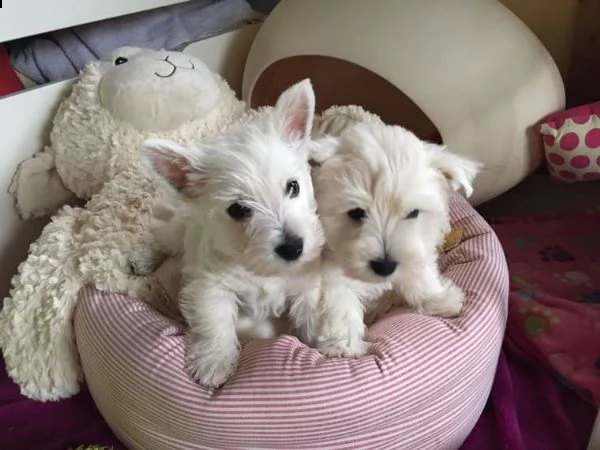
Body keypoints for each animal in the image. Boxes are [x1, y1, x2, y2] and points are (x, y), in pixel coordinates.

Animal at [137, 80, 324, 386]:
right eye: (238, 210)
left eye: (293, 186)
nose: (293, 247)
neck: (261, 268)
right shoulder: (211, 286)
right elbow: (216, 321)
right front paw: (214, 364)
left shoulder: (304, 282)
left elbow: (311, 310)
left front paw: (330, 342)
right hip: (180, 232)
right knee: (162, 237)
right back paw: (142, 258)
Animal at [310, 119, 482, 358]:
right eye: (356, 213)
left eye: (413, 213)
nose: (385, 266)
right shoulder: (329, 268)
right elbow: (339, 300)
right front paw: (343, 344)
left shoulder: (417, 248)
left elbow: (419, 271)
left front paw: (438, 298)